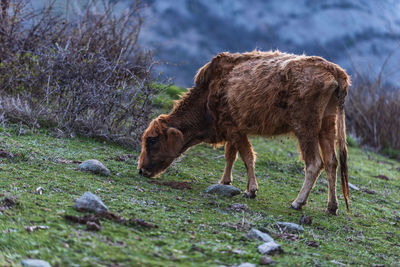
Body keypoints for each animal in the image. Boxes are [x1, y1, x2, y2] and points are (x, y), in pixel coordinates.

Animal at [138, 50, 350, 216]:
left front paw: (251, 190)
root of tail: (334, 70)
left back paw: (298, 202)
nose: (141, 170)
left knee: (314, 163)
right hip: (326, 126)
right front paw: (225, 181)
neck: (209, 93)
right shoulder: (231, 130)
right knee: (331, 162)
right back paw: (331, 207)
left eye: (152, 140)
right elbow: (231, 155)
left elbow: (247, 156)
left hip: (305, 128)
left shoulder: (235, 128)